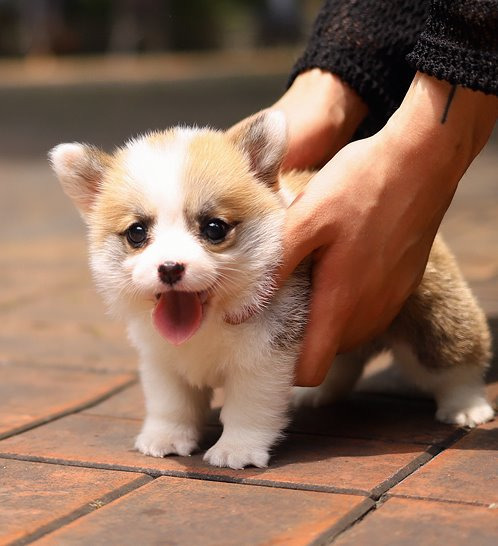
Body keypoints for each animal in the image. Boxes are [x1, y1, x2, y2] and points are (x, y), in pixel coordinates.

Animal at [50, 111, 494, 468]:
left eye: (214, 228)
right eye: (137, 233)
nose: (170, 268)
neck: (211, 321)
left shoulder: (264, 358)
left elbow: (248, 408)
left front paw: (236, 450)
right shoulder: (161, 357)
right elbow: (170, 401)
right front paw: (165, 437)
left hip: (434, 317)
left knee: (453, 363)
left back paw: (467, 408)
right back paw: (318, 394)